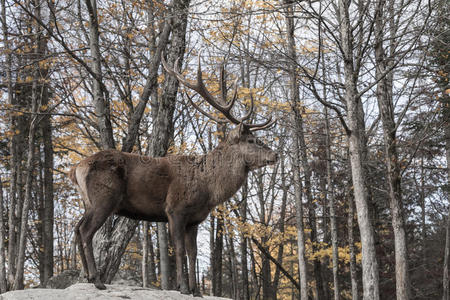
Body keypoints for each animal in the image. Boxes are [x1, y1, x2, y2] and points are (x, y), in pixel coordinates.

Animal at [69, 54, 278, 296]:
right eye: (252, 140)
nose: (275, 154)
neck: (208, 188)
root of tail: (77, 168)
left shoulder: (195, 220)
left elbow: (193, 253)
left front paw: (197, 291)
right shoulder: (175, 209)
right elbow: (179, 250)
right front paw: (183, 288)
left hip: (88, 201)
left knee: (77, 228)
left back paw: (87, 276)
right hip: (104, 197)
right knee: (86, 231)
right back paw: (97, 279)